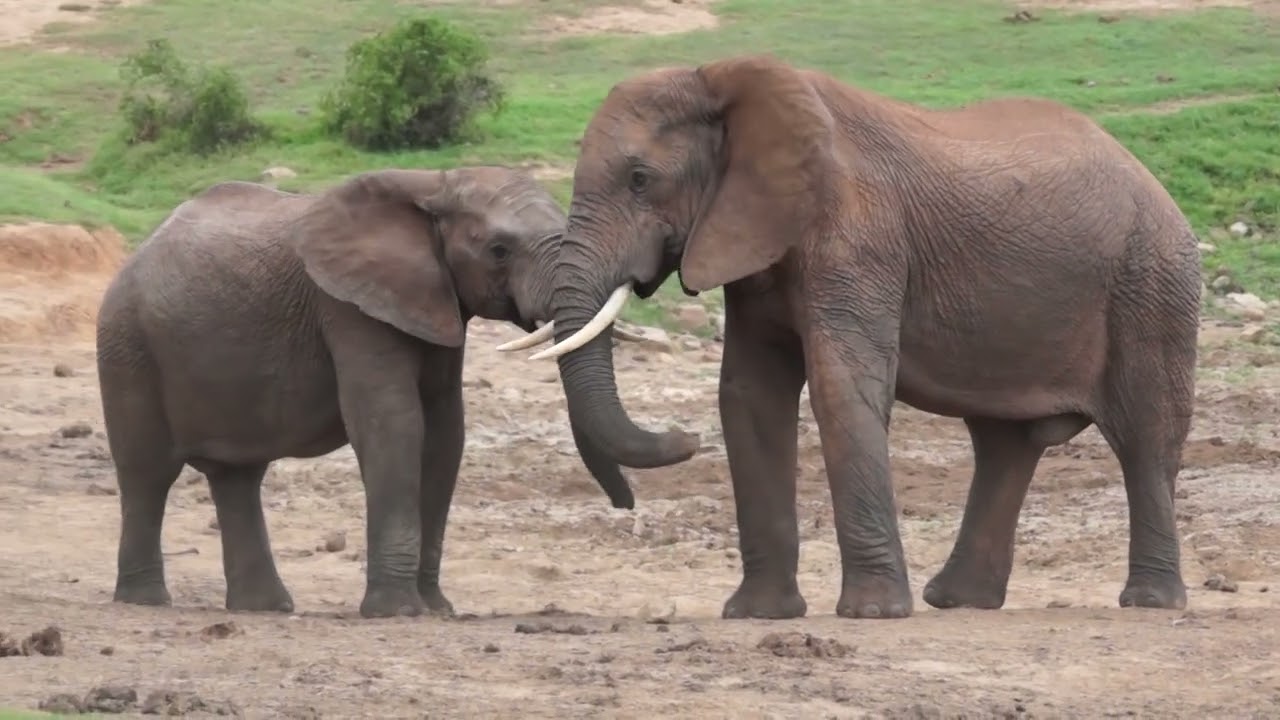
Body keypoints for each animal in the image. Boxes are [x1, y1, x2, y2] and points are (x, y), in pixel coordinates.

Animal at [96, 166, 635, 619]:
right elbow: (394, 424)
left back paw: (264, 608)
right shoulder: (349, 308)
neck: (434, 185)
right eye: (499, 249)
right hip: (127, 346)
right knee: (148, 473)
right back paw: (146, 601)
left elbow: (445, 434)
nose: (625, 504)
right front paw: (398, 612)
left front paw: (436, 609)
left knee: (237, 477)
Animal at [501, 54, 1202, 619]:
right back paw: (958, 601)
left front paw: (871, 614)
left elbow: (840, 388)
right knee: (1004, 445)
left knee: (1146, 437)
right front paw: (758, 615)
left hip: (1153, 283)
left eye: (640, 179)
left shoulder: (858, 239)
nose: (680, 440)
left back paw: (1149, 601)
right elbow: (748, 397)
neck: (728, 83)